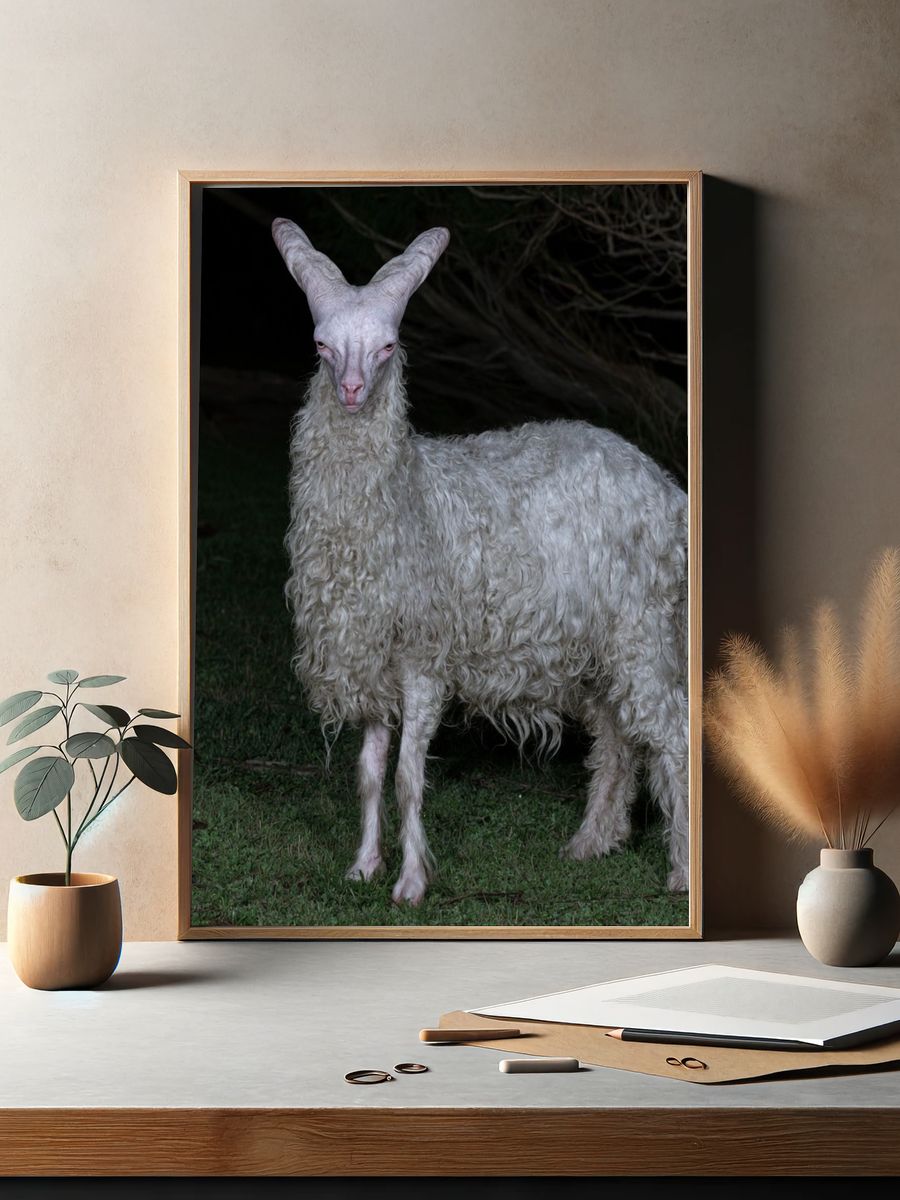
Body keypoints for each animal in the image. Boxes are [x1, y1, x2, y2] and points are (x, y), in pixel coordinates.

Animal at [272, 218, 689, 905]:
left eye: (387, 346)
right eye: (322, 345)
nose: (353, 392)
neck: (406, 500)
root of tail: (665, 486)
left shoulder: (424, 658)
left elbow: (408, 775)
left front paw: (411, 883)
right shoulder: (373, 659)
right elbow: (369, 771)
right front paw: (363, 866)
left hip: (643, 629)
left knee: (670, 732)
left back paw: (680, 869)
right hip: (595, 647)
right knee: (615, 736)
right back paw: (591, 842)